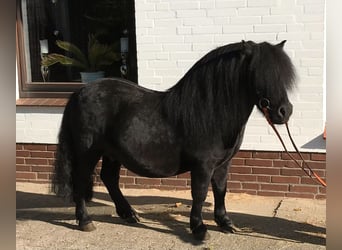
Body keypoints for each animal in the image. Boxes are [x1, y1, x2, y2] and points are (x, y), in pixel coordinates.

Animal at [52, 40, 296, 241]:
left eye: (282, 76)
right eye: (257, 74)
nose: (284, 112)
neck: (211, 112)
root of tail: (78, 93)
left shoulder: (223, 164)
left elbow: (220, 190)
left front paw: (225, 222)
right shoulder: (203, 165)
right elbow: (200, 193)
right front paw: (199, 229)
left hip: (112, 153)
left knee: (109, 178)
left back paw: (129, 214)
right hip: (88, 153)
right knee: (81, 180)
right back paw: (85, 221)